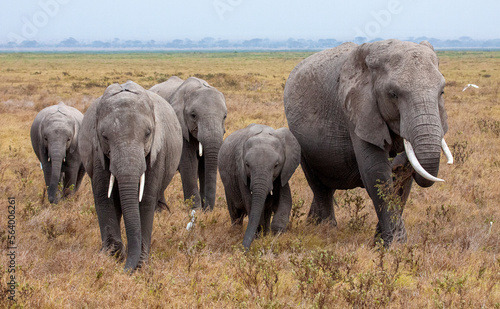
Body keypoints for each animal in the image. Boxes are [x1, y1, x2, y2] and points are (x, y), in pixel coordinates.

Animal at [80, 80, 184, 270]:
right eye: (105, 137)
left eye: (148, 133)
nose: (125, 269)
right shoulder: (97, 152)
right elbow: (104, 197)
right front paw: (111, 256)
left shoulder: (157, 153)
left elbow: (145, 200)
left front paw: (140, 264)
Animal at [148, 76, 227, 209]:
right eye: (193, 115)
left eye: (225, 116)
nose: (208, 210)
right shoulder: (180, 125)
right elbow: (189, 163)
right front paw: (195, 209)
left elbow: (205, 164)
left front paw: (203, 210)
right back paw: (161, 210)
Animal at [284, 39, 456, 245]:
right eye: (393, 94)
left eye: (442, 92)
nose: (395, 159)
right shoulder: (358, 110)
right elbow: (376, 172)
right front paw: (394, 245)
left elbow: (404, 181)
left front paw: (383, 242)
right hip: (300, 140)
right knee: (319, 185)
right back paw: (325, 230)